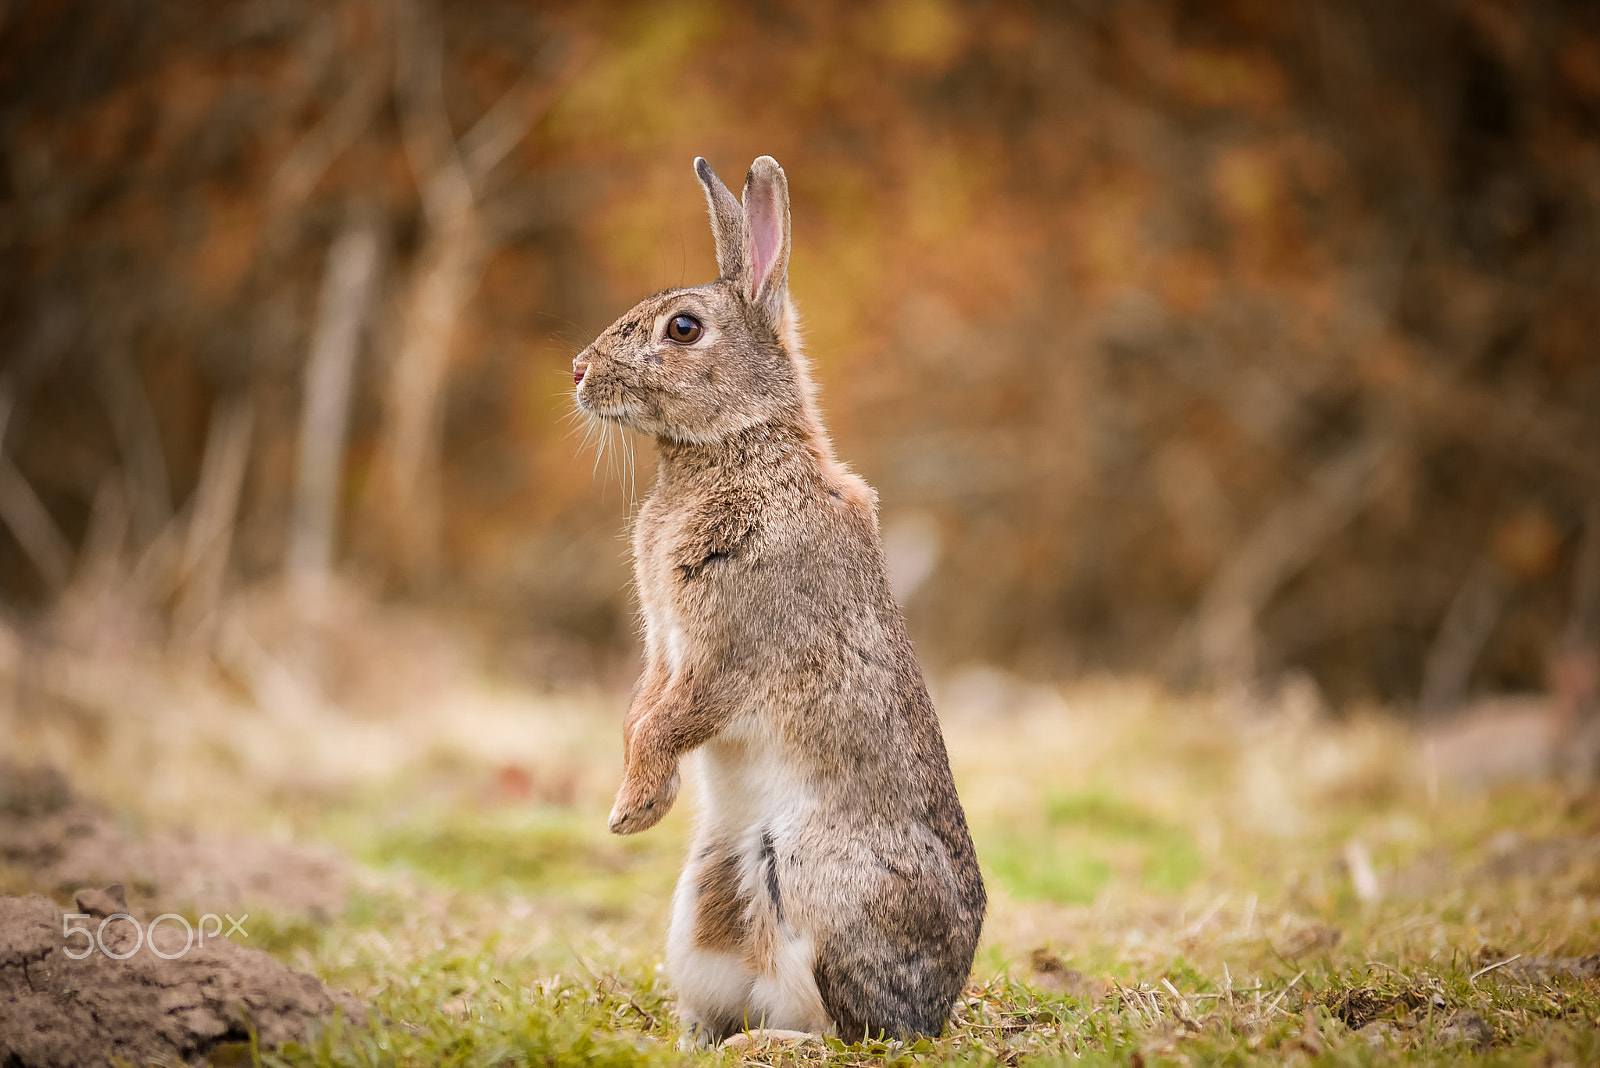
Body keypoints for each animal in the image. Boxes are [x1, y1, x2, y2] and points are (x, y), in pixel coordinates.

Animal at [572, 155, 985, 1045]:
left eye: (683, 329)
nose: (579, 372)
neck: (737, 445)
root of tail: (941, 1003)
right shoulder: (665, 647)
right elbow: (640, 711)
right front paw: (634, 803)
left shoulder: (730, 650)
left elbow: (667, 721)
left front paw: (633, 813)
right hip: (703, 899)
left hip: (820, 879)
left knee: (852, 1029)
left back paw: (766, 1043)